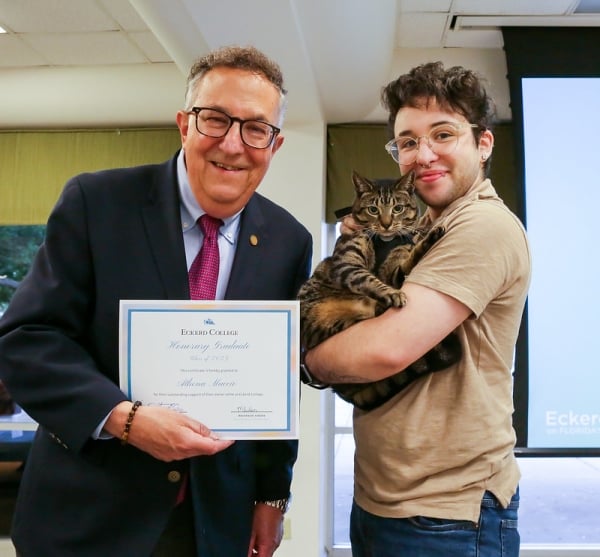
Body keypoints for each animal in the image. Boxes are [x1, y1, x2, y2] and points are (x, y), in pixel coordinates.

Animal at [298, 168, 462, 408]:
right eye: (373, 209)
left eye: (398, 208)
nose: (385, 224)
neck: (386, 242)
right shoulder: (347, 264)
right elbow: (367, 278)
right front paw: (392, 294)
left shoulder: (392, 272)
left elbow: (405, 262)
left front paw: (424, 238)